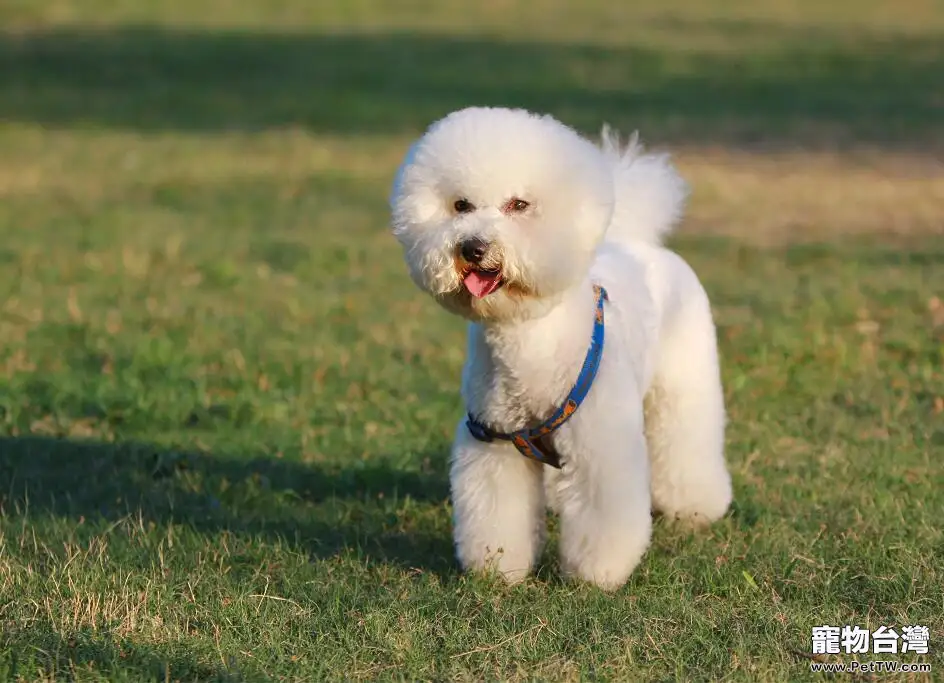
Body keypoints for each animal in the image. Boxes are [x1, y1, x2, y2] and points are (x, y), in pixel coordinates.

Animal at [388, 108, 732, 592]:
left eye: (519, 205)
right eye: (460, 206)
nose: (472, 248)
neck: (527, 337)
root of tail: (640, 242)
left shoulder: (603, 443)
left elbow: (605, 515)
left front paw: (597, 574)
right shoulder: (493, 443)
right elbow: (498, 514)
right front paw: (498, 569)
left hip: (684, 383)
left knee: (686, 441)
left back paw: (695, 507)